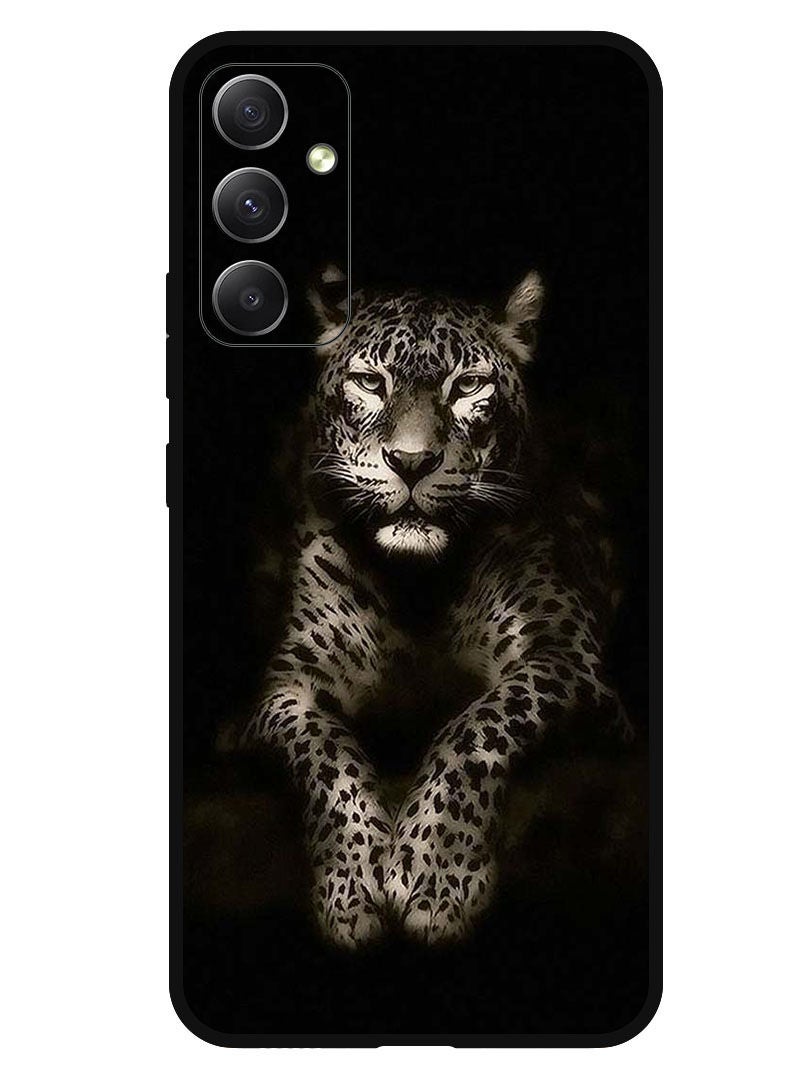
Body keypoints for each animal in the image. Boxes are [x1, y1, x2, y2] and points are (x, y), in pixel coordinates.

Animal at [240, 265, 633, 948]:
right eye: (371, 383)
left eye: (467, 386)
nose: (412, 461)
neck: (417, 587)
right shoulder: (285, 686)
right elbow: (324, 752)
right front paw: (351, 885)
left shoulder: (566, 656)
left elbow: (477, 726)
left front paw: (434, 874)